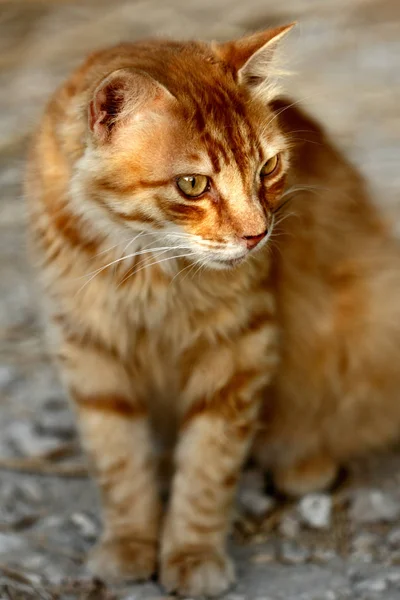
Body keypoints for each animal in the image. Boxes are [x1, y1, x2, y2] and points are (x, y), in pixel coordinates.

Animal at [25, 22, 400, 596]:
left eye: (268, 168)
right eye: (193, 184)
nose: (257, 234)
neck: (147, 270)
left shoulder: (238, 352)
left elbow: (206, 470)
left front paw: (192, 554)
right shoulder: (90, 349)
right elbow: (119, 464)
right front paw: (130, 544)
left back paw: (304, 463)